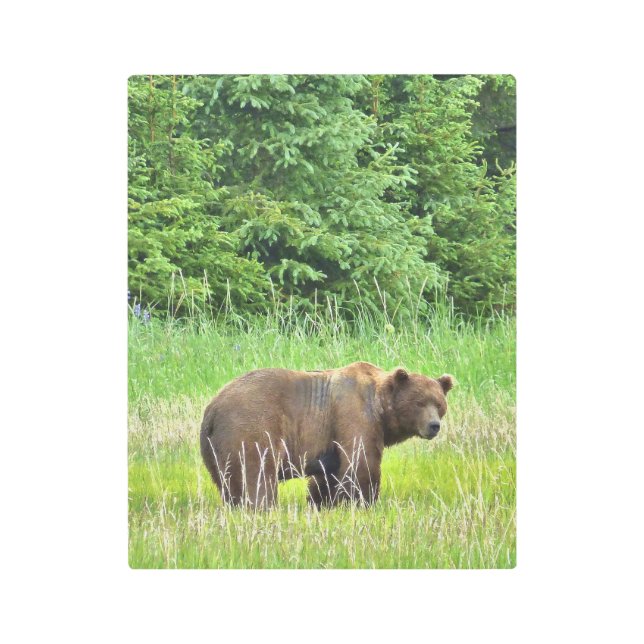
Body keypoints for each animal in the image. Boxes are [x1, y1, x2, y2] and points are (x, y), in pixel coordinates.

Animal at [200, 362, 454, 509]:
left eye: (439, 404)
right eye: (419, 402)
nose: (434, 425)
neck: (380, 407)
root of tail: (213, 408)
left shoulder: (330, 439)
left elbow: (329, 474)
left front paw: (322, 502)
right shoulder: (353, 414)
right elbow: (361, 462)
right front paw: (363, 501)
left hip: (214, 447)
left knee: (228, 481)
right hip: (251, 425)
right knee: (256, 472)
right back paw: (261, 506)